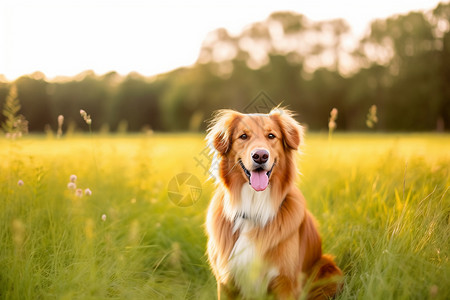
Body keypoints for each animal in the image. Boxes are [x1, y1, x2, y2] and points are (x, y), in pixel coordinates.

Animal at [206, 107, 342, 298]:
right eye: (243, 136)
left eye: (271, 136)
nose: (260, 156)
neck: (254, 206)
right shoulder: (225, 282)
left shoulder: (286, 282)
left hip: (329, 268)